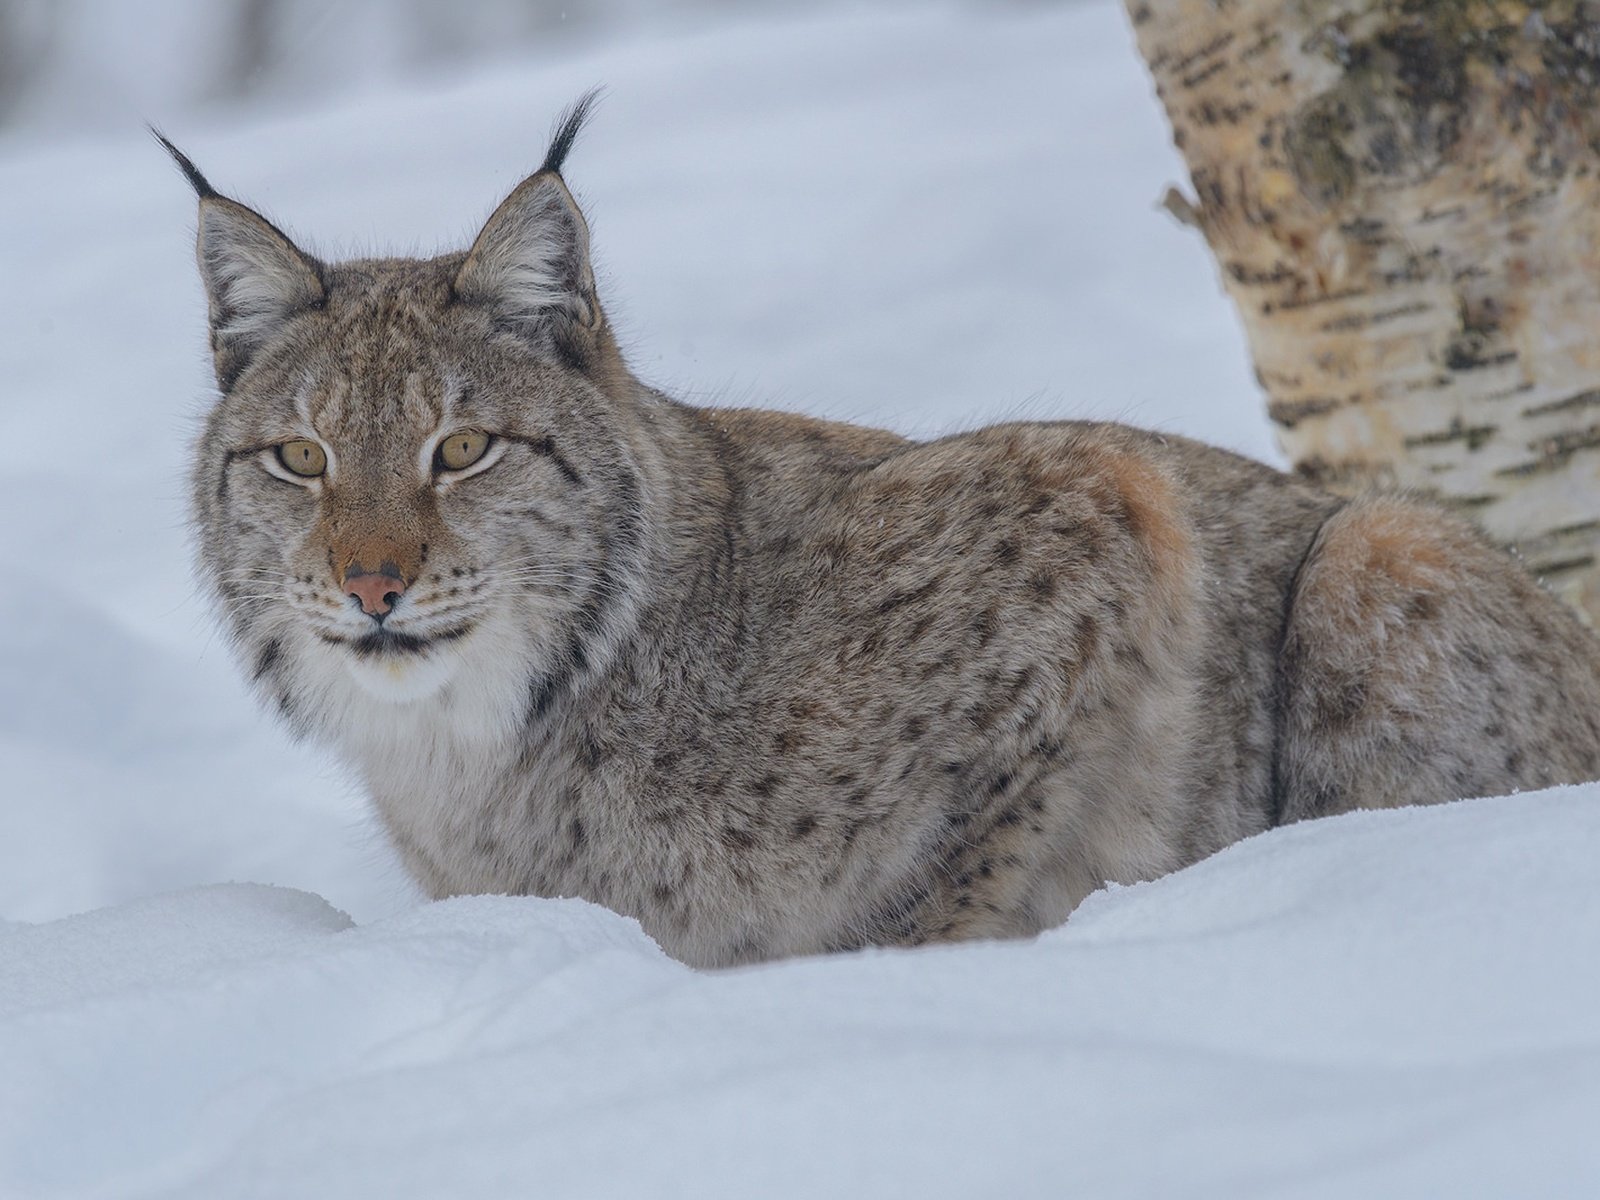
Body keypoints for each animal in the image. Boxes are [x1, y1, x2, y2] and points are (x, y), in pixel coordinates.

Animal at [162, 98, 1600, 972]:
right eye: (301, 459)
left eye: (463, 451)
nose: (371, 585)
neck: (493, 736)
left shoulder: (1098, 495)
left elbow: (990, 849)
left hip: (1382, 546)